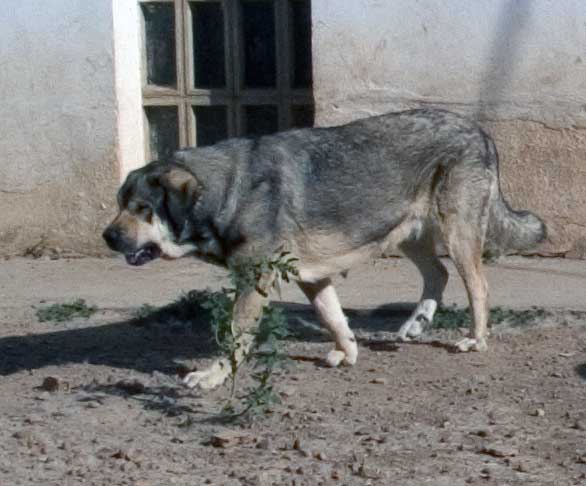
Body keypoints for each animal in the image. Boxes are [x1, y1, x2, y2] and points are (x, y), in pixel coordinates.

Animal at [102, 108, 544, 390]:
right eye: (121, 203)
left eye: (142, 209)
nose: (108, 237)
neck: (228, 191)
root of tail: (479, 130)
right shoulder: (312, 278)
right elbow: (334, 319)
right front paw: (347, 352)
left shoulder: (254, 281)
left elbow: (233, 336)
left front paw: (211, 377)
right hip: (406, 233)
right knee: (439, 273)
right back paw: (416, 324)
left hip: (455, 232)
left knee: (478, 286)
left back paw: (475, 339)